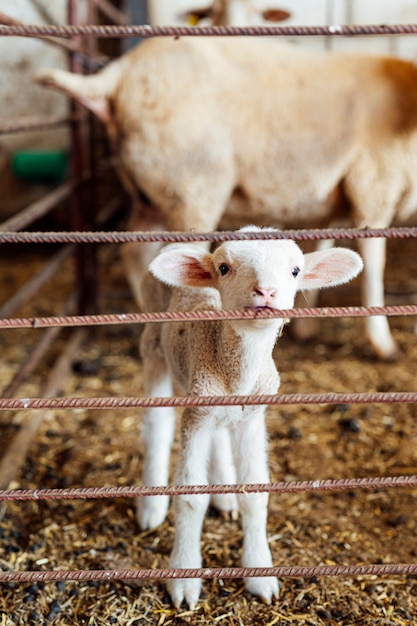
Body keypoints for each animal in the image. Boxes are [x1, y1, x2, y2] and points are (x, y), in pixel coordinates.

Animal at [143, 227, 360, 608]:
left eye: (295, 271)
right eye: (224, 268)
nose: (266, 292)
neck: (235, 374)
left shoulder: (251, 416)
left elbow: (256, 493)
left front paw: (260, 573)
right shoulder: (197, 412)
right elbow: (190, 497)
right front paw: (184, 576)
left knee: (219, 434)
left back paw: (224, 493)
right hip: (153, 346)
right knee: (158, 426)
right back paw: (152, 505)